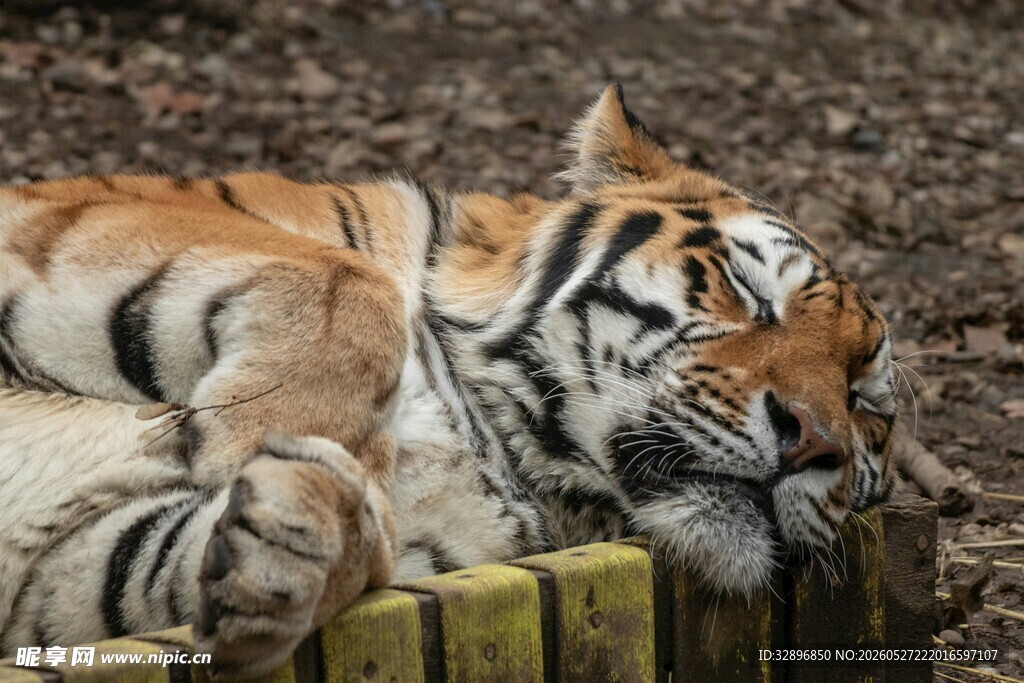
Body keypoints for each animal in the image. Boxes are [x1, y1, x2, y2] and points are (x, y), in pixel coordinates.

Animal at [0, 84, 899, 678]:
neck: (498, 447)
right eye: (743, 294)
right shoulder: (75, 218)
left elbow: (146, 561)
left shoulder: (57, 565)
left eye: (864, 403)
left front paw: (295, 536)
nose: (815, 441)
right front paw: (244, 446)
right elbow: (344, 277)